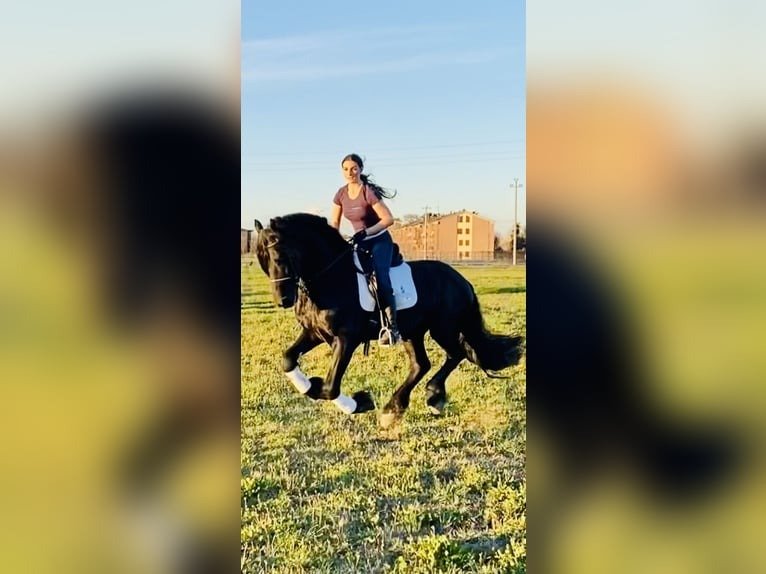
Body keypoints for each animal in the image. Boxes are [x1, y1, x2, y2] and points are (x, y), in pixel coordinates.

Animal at [253, 213, 524, 427]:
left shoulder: (347, 338)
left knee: (455, 354)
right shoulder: (315, 333)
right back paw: (395, 408)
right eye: (262, 261)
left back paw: (433, 397)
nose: (283, 300)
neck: (332, 277)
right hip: (412, 332)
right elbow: (288, 360)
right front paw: (310, 385)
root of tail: (461, 280)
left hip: (442, 329)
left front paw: (358, 402)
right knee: (421, 364)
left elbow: (330, 388)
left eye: (278, 257)